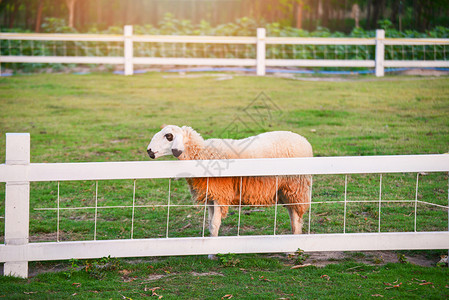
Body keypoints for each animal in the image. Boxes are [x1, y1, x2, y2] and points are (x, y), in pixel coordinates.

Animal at [147, 125, 312, 238]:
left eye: (168, 136)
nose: (149, 151)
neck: (203, 154)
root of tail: (305, 141)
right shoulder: (211, 195)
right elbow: (210, 224)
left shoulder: (220, 193)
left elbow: (215, 224)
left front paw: (211, 253)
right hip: (286, 189)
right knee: (293, 216)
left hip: (296, 186)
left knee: (297, 218)